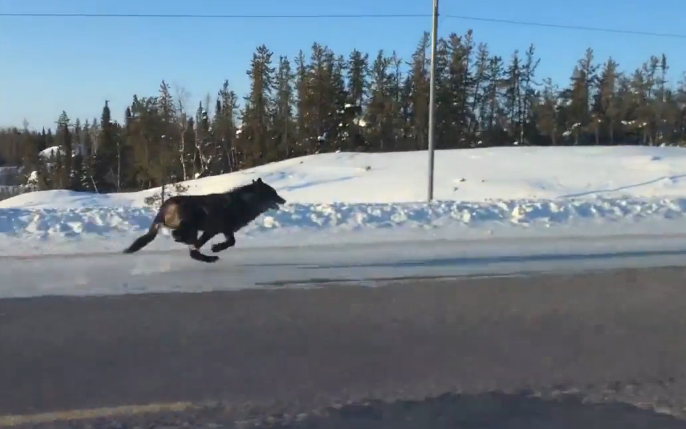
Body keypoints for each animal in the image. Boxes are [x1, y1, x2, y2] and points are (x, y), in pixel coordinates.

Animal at [122, 176, 286, 260]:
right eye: (273, 193)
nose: (284, 200)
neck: (243, 202)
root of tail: (167, 203)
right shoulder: (225, 228)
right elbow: (231, 242)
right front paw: (216, 248)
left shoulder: (211, 231)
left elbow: (199, 245)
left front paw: (214, 248)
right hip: (191, 224)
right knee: (179, 236)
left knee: (192, 251)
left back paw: (207, 258)